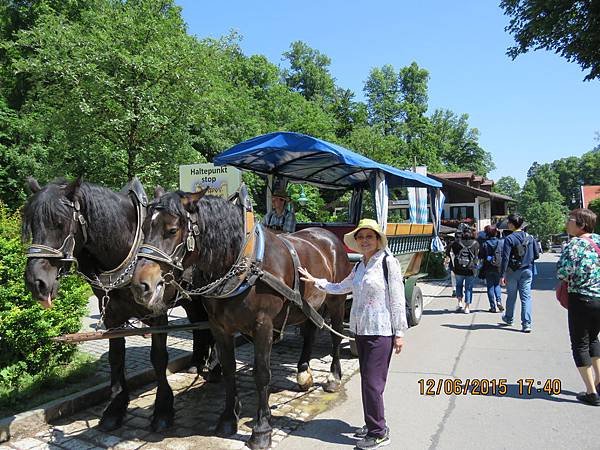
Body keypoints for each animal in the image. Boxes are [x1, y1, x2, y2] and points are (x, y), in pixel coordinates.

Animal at [22, 178, 220, 432]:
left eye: (59, 223)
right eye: (31, 225)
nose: (36, 282)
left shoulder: (156, 312)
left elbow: (159, 358)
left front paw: (163, 409)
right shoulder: (111, 315)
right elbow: (116, 357)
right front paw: (115, 408)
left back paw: (214, 367)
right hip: (190, 297)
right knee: (198, 322)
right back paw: (197, 362)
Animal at [129, 191, 350, 450]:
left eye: (172, 230)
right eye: (144, 227)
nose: (140, 285)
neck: (245, 264)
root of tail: (328, 237)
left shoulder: (263, 326)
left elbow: (262, 374)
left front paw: (262, 429)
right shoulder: (220, 327)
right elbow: (229, 369)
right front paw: (227, 418)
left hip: (337, 301)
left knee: (335, 336)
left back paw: (333, 377)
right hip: (307, 305)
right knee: (311, 331)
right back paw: (303, 372)